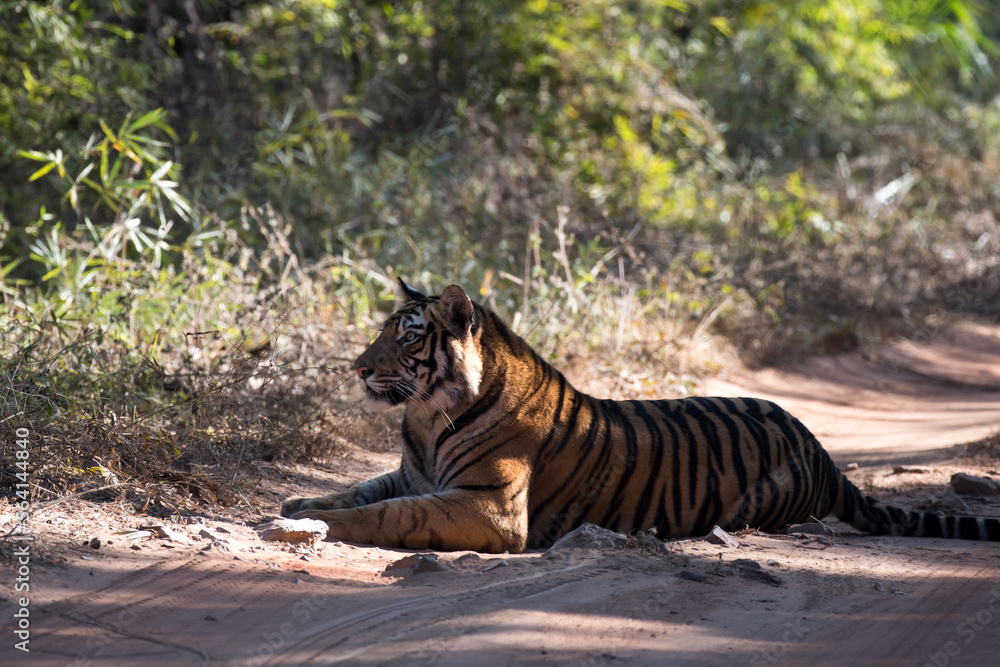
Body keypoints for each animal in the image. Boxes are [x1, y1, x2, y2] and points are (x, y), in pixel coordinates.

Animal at [281, 279, 1000, 552]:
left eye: (406, 336)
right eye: (382, 329)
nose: (357, 367)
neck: (428, 417)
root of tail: (821, 449)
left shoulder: (488, 506)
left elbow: (389, 513)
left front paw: (314, 524)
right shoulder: (413, 473)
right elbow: (362, 487)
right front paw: (299, 502)